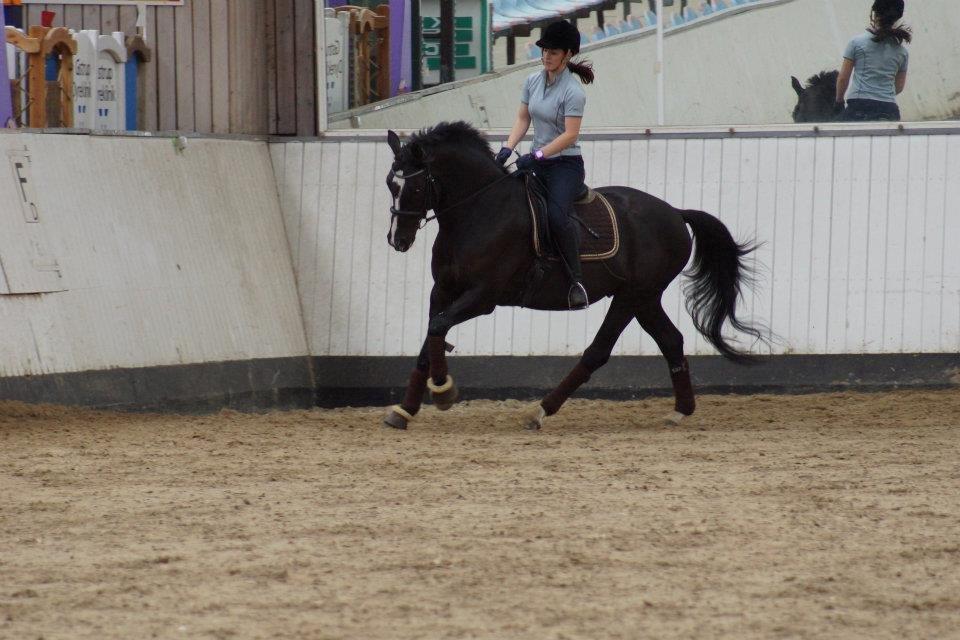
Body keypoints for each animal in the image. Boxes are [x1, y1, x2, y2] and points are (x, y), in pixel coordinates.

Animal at [378, 120, 760, 430]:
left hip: (632, 295)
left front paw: (443, 390)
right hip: (646, 299)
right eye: (389, 184)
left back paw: (540, 411)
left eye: (413, 187)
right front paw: (405, 410)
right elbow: (431, 334)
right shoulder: (443, 290)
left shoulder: (483, 296)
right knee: (671, 341)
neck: (479, 212)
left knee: (599, 351)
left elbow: (439, 327)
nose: (397, 240)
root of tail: (675, 213)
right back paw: (681, 410)